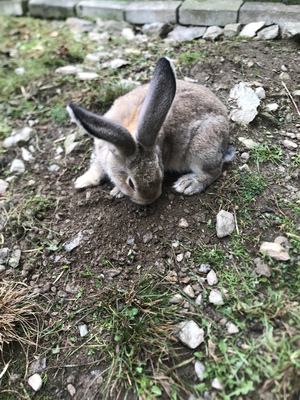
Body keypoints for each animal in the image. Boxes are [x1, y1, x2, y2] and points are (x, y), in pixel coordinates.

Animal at [67, 56, 234, 205]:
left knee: (213, 171)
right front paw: (82, 182)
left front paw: (115, 190)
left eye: (161, 171)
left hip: (202, 148)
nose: (149, 200)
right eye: (131, 183)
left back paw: (188, 183)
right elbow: (97, 166)